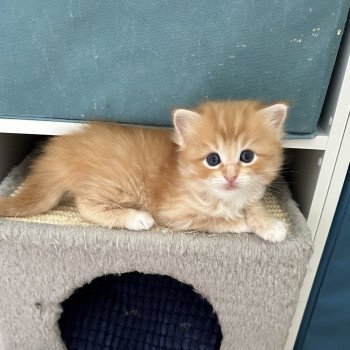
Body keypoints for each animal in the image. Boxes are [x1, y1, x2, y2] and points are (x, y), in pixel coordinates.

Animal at [0, 100, 288, 242]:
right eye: (213, 159)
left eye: (247, 156)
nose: (231, 176)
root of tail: (63, 150)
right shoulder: (175, 213)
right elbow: (213, 220)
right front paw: (241, 223)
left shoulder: (249, 191)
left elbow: (254, 204)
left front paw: (269, 224)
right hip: (116, 183)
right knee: (86, 205)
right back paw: (135, 218)